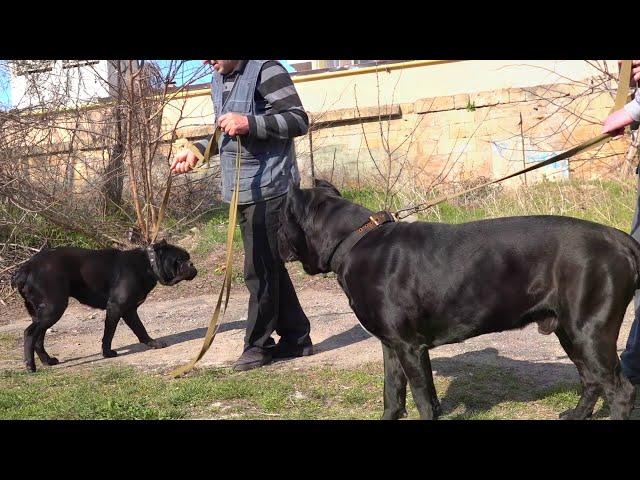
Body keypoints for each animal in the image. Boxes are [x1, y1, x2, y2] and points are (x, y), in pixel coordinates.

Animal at [9, 240, 195, 372]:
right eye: (180, 259)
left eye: (188, 258)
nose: (192, 264)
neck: (149, 264)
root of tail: (25, 269)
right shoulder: (116, 307)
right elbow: (109, 333)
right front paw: (107, 353)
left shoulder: (129, 310)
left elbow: (140, 330)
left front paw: (152, 343)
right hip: (53, 308)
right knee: (30, 333)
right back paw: (30, 366)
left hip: (42, 312)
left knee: (38, 337)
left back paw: (48, 361)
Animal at [278, 180, 640, 420]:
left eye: (280, 219)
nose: (275, 238)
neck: (353, 240)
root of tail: (620, 239)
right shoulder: (392, 346)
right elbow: (393, 394)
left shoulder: (409, 347)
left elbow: (424, 400)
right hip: (569, 330)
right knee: (591, 380)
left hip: (589, 331)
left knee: (620, 390)